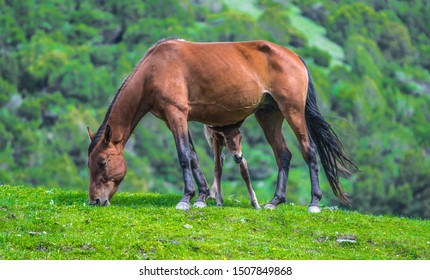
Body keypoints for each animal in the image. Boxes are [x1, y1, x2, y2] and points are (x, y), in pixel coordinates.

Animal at [86, 38, 356, 212]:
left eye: (102, 162)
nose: (95, 201)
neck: (155, 67)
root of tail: (294, 56)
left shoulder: (176, 114)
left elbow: (183, 156)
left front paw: (186, 198)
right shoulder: (177, 119)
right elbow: (193, 157)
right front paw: (202, 196)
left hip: (292, 111)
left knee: (308, 151)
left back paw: (314, 203)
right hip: (269, 115)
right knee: (284, 155)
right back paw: (274, 201)